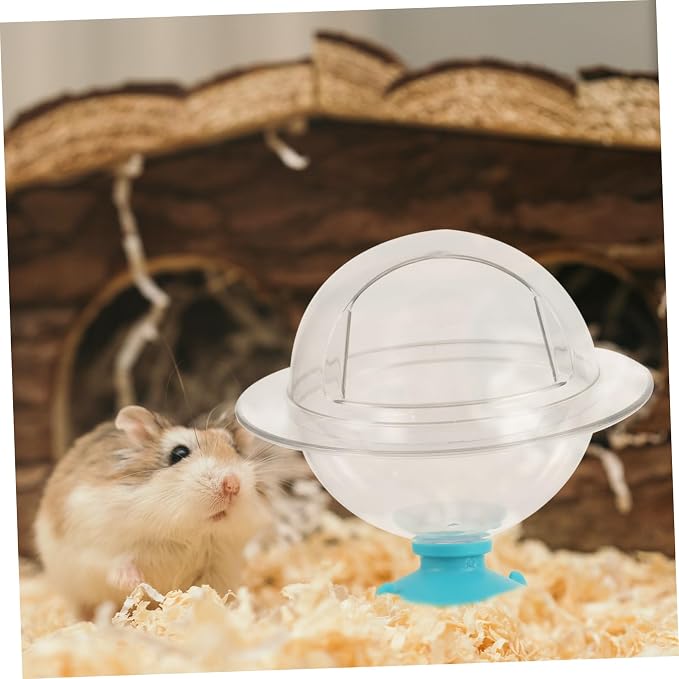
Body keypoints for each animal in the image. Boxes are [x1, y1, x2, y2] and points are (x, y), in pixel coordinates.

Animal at [34, 405, 271, 619]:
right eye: (179, 453)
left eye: (236, 450)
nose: (232, 485)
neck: (187, 531)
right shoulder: (96, 544)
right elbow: (115, 563)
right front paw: (136, 582)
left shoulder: (219, 566)